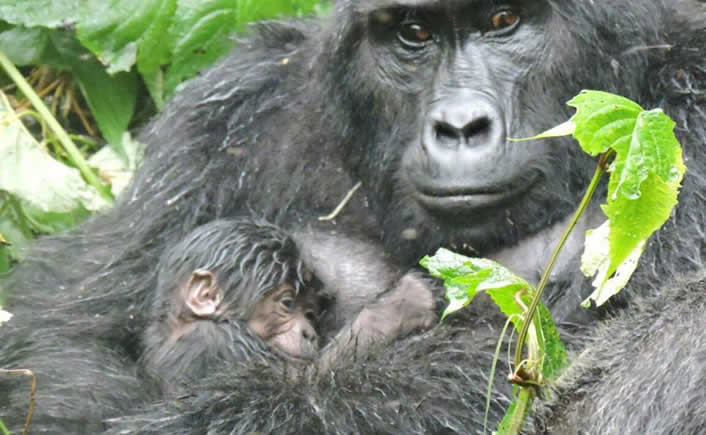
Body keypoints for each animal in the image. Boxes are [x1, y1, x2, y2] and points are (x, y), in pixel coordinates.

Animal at [1, 0, 704, 434]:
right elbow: (69, 336)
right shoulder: (231, 108)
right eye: (413, 34)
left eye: (504, 19)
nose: (459, 127)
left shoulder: (684, 109)